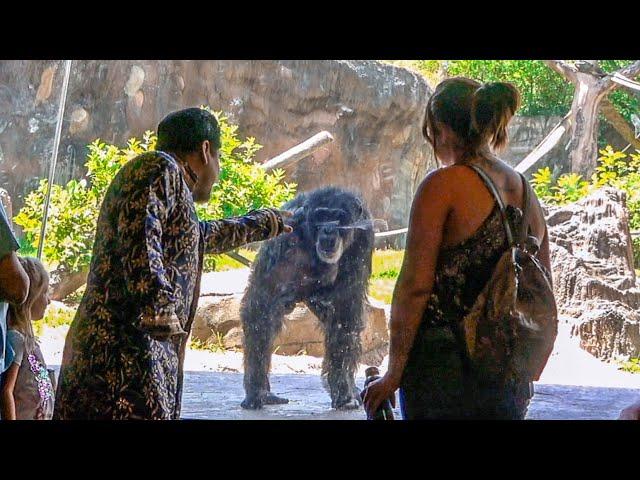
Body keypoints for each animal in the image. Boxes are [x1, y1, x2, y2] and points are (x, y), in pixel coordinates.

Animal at [240, 187, 372, 408]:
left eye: (338, 217)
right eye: (321, 216)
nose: (328, 230)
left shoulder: (363, 239)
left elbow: (344, 312)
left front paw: (343, 390)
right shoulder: (286, 236)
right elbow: (263, 301)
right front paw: (257, 391)